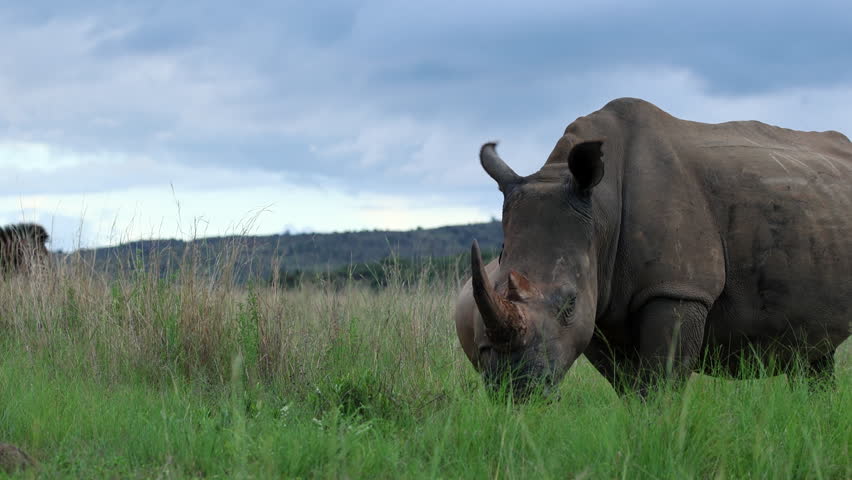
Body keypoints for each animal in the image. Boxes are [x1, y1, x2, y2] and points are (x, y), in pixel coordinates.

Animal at [455, 98, 852, 398]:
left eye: (569, 304)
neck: (601, 209)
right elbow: (630, 388)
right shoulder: (600, 300)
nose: (513, 389)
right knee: (812, 351)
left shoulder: (677, 289)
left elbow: (663, 382)